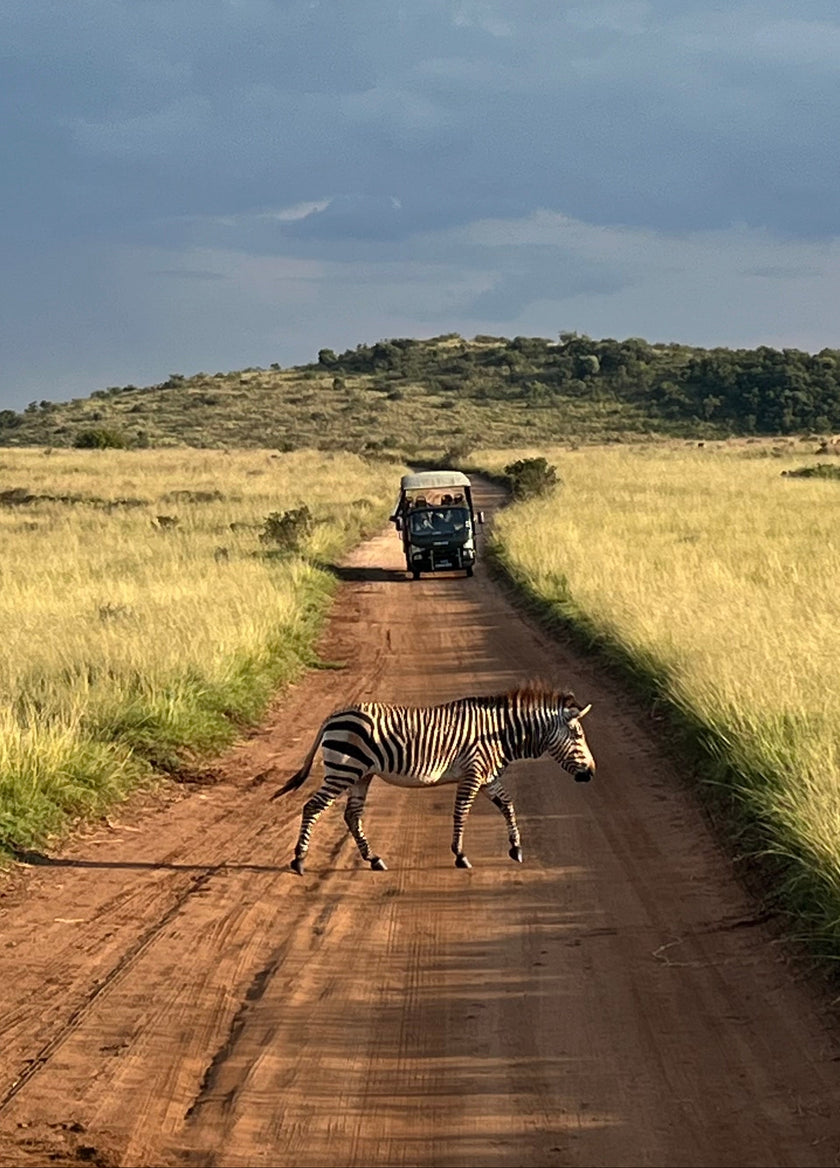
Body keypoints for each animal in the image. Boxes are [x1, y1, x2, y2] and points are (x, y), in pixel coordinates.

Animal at [272, 686, 595, 874]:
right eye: (578, 735)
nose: (591, 773)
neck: (500, 734)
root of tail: (333, 716)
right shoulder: (473, 772)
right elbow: (461, 812)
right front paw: (460, 855)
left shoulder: (488, 776)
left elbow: (507, 805)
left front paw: (515, 848)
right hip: (343, 771)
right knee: (312, 807)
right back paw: (299, 860)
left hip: (362, 775)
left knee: (352, 815)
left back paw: (374, 859)